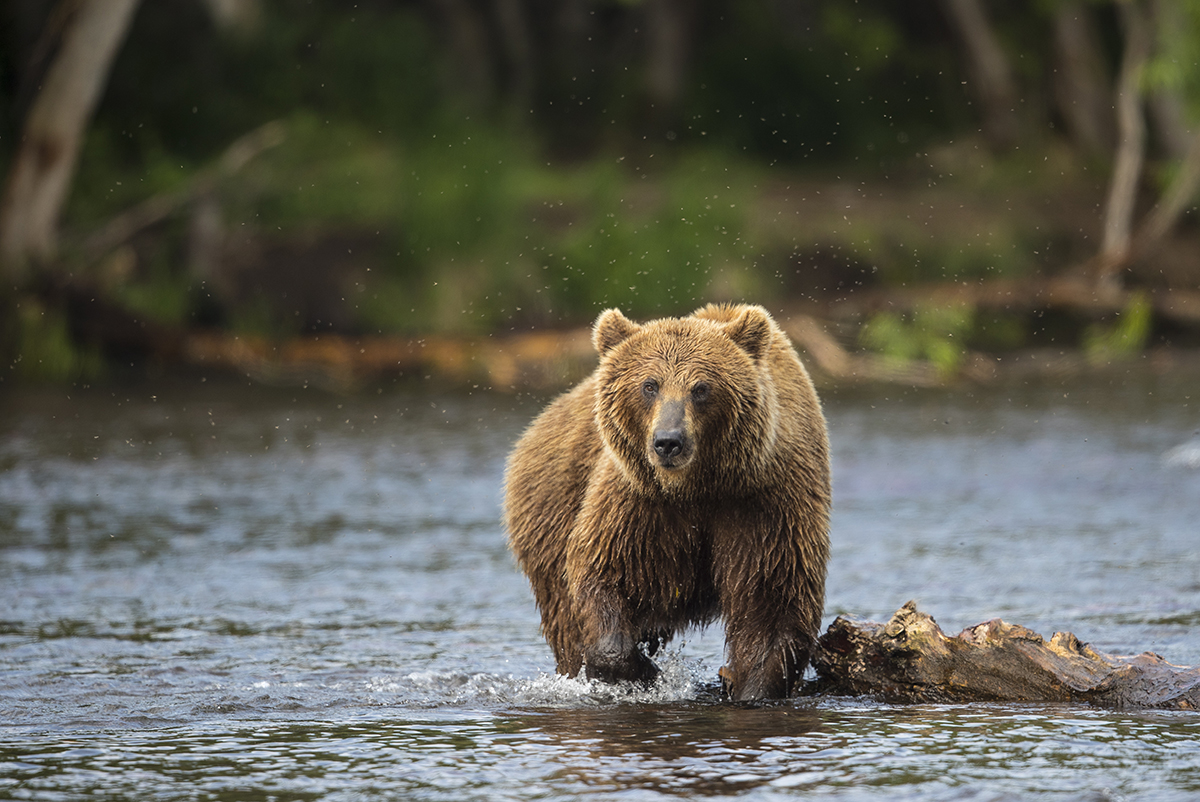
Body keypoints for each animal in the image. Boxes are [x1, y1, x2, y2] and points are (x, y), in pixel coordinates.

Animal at [501, 303, 830, 696]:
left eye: (701, 388)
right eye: (649, 385)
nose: (668, 441)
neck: (697, 486)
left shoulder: (763, 500)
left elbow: (770, 599)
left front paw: (751, 685)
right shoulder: (640, 503)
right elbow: (605, 573)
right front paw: (642, 670)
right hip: (548, 517)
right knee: (565, 620)